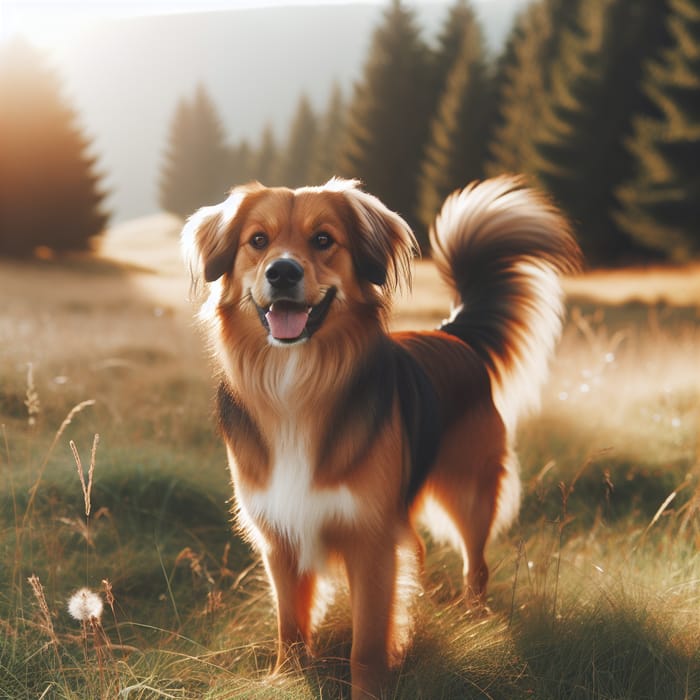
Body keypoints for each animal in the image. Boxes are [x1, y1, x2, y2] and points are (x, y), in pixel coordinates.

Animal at [182, 175, 580, 696]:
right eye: (258, 241)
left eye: (323, 239)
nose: (283, 272)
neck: (295, 385)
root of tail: (453, 335)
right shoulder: (281, 537)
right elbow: (290, 627)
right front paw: (285, 678)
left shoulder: (370, 539)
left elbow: (367, 645)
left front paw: (371, 688)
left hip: (470, 491)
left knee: (476, 566)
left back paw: (474, 619)